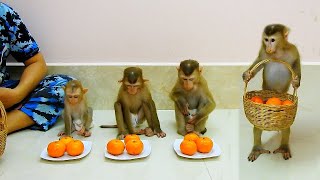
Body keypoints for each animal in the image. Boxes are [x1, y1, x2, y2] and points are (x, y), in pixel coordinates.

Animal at [244, 23, 302, 162]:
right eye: (266, 39)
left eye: (273, 40)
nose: (269, 47)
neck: (277, 52)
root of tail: (275, 92)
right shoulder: (263, 52)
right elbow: (259, 62)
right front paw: (247, 74)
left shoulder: (293, 50)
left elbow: (296, 62)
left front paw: (296, 81)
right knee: (257, 128)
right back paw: (257, 149)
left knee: (286, 127)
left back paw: (284, 147)